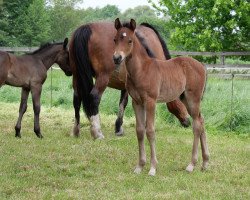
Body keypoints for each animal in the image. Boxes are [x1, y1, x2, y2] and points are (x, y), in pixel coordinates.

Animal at [113, 18, 209, 175]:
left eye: (130, 41)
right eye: (115, 39)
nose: (116, 58)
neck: (142, 70)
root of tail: (201, 65)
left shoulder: (150, 101)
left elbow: (150, 131)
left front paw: (152, 168)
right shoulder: (137, 102)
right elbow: (140, 131)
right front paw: (139, 166)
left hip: (193, 99)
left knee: (196, 125)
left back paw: (191, 165)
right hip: (186, 99)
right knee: (201, 121)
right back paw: (205, 163)